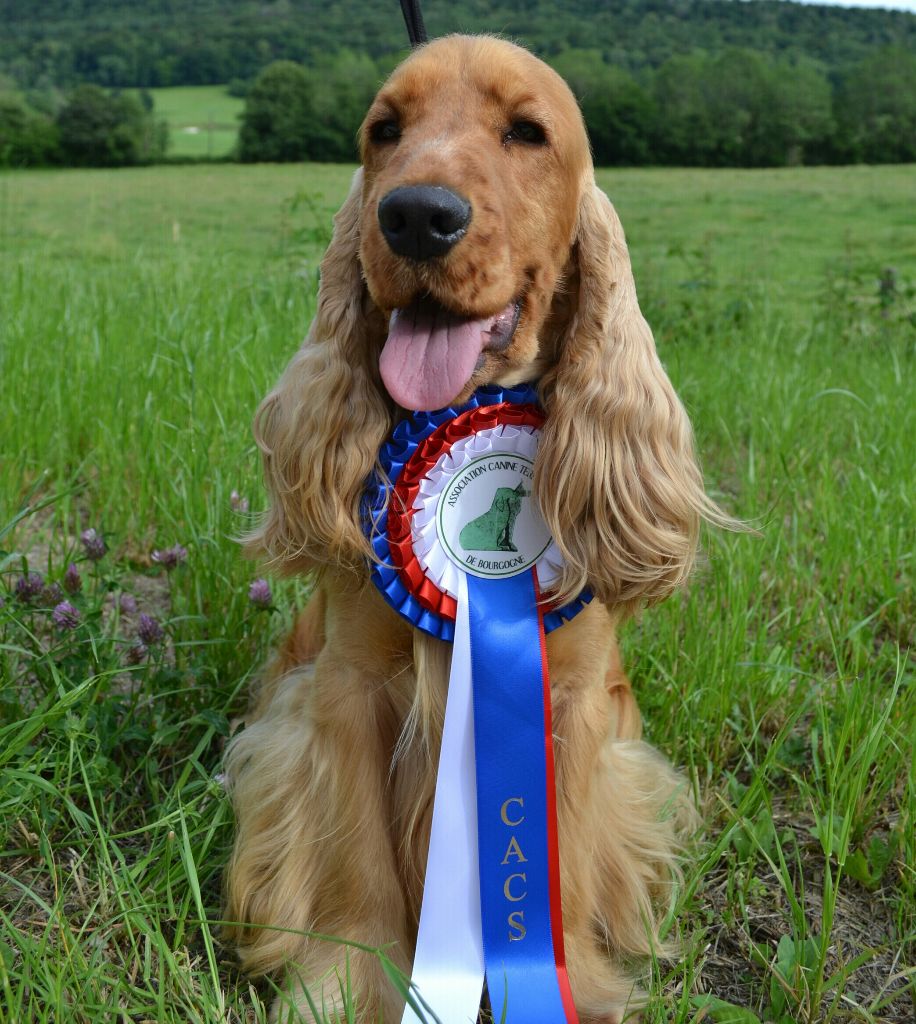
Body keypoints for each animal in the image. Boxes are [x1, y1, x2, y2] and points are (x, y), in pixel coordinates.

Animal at [224, 36, 728, 1024]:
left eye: (527, 132)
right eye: (385, 129)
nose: (417, 216)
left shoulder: (571, 701)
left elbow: (558, 858)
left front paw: (574, 990)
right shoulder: (345, 690)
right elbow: (357, 861)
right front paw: (347, 984)